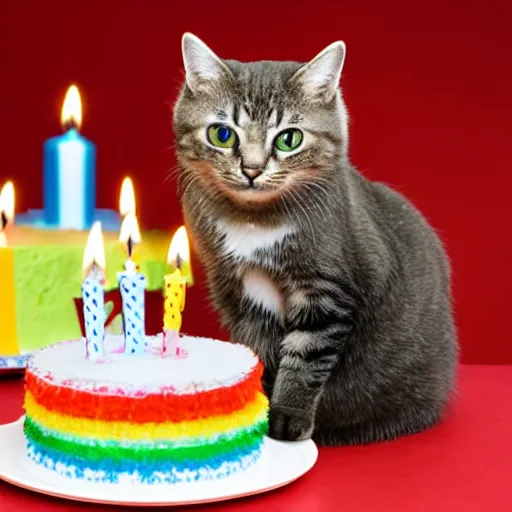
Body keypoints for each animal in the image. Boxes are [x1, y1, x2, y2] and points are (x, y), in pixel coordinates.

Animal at [171, 34, 456, 446]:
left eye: (289, 139)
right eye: (221, 134)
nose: (252, 169)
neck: (254, 221)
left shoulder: (326, 292)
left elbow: (305, 359)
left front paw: (286, 418)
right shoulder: (238, 295)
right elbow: (261, 354)